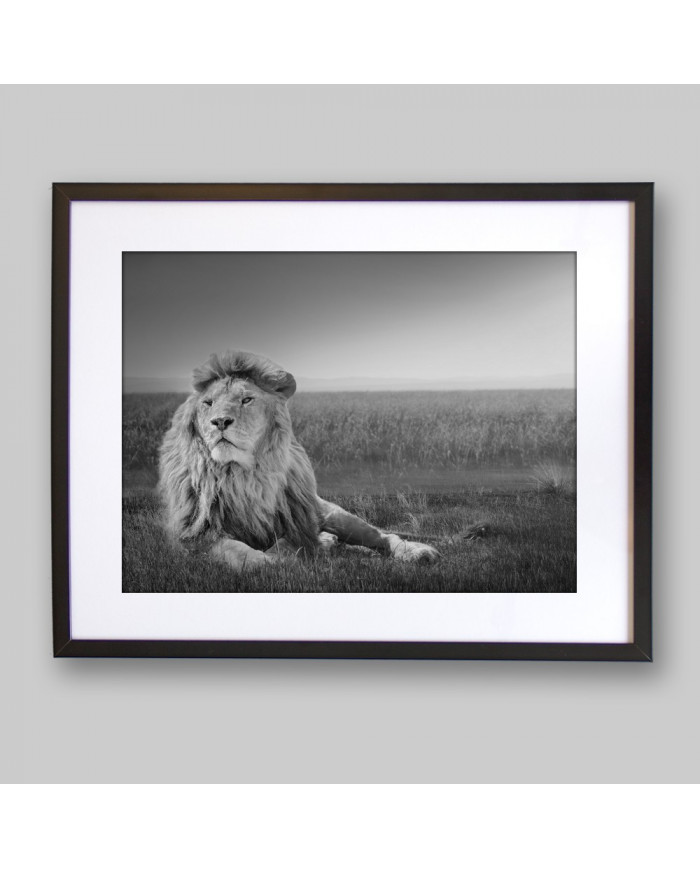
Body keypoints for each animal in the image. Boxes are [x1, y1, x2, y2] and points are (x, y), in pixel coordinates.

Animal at [158, 350, 440, 573]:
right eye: (208, 403)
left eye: (246, 399)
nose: (219, 422)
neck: (242, 475)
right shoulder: (197, 536)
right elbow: (237, 552)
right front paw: (269, 561)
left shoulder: (296, 523)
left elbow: (289, 543)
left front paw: (295, 553)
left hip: (335, 515)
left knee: (382, 536)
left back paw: (417, 552)